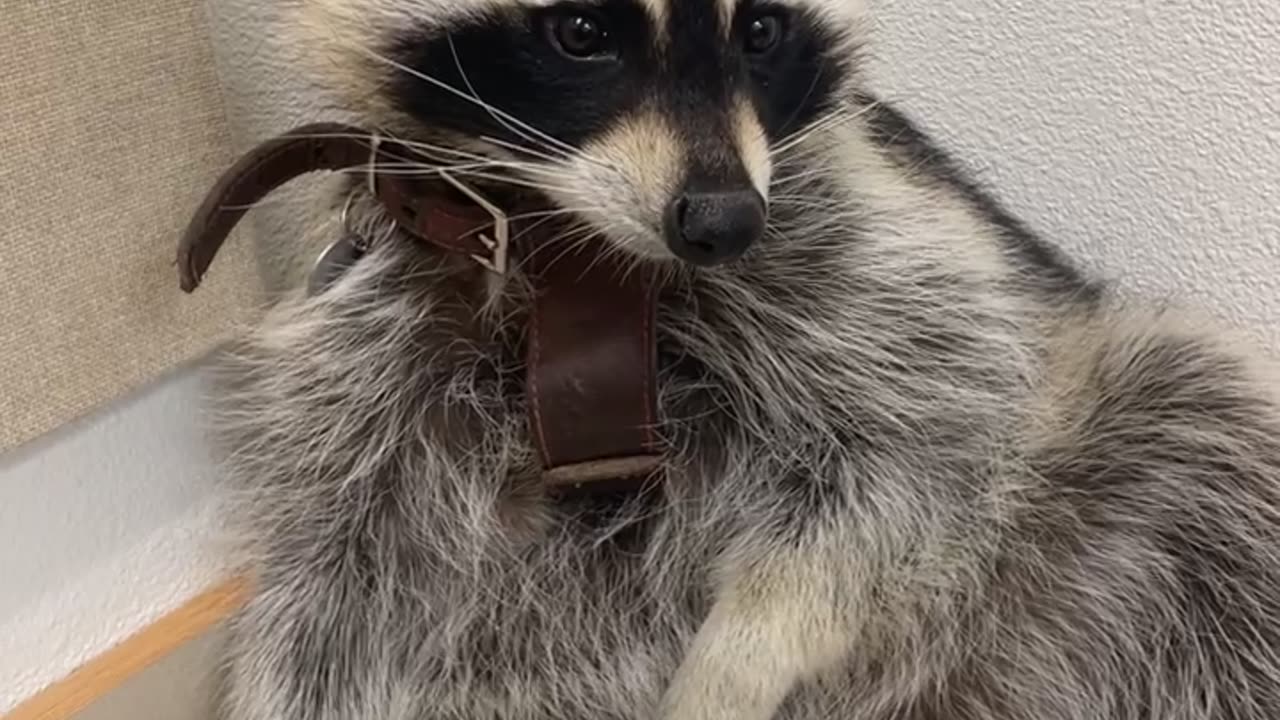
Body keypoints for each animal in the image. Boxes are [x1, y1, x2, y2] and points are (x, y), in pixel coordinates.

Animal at [210, 1, 1280, 718]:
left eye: (761, 31)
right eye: (579, 32)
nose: (724, 222)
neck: (588, 269)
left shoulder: (882, 243)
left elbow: (927, 448)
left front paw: (731, 663)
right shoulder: (375, 343)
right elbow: (331, 599)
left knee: (1200, 427)